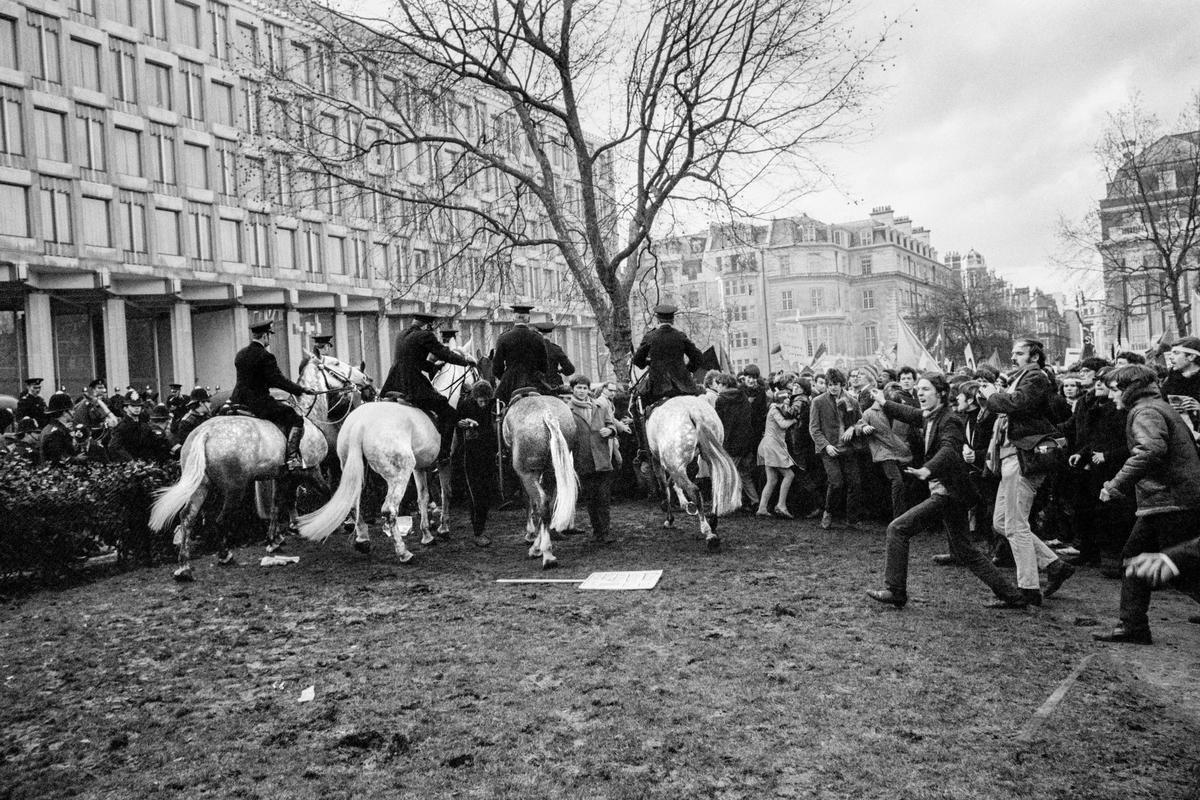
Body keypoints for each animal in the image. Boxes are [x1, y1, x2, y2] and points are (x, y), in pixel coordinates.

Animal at [295, 400, 446, 563]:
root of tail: (360, 424)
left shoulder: (420, 468)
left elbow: (423, 497)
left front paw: (427, 535)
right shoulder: (440, 464)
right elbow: (444, 494)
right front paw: (442, 529)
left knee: (353, 504)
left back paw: (363, 540)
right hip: (400, 474)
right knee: (389, 510)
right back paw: (403, 553)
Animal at [648, 395, 739, 551]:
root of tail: (694, 412)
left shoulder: (658, 460)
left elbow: (665, 487)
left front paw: (669, 519)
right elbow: (672, 483)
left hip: (674, 463)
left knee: (694, 490)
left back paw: (709, 534)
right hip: (707, 457)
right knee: (715, 486)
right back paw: (712, 522)